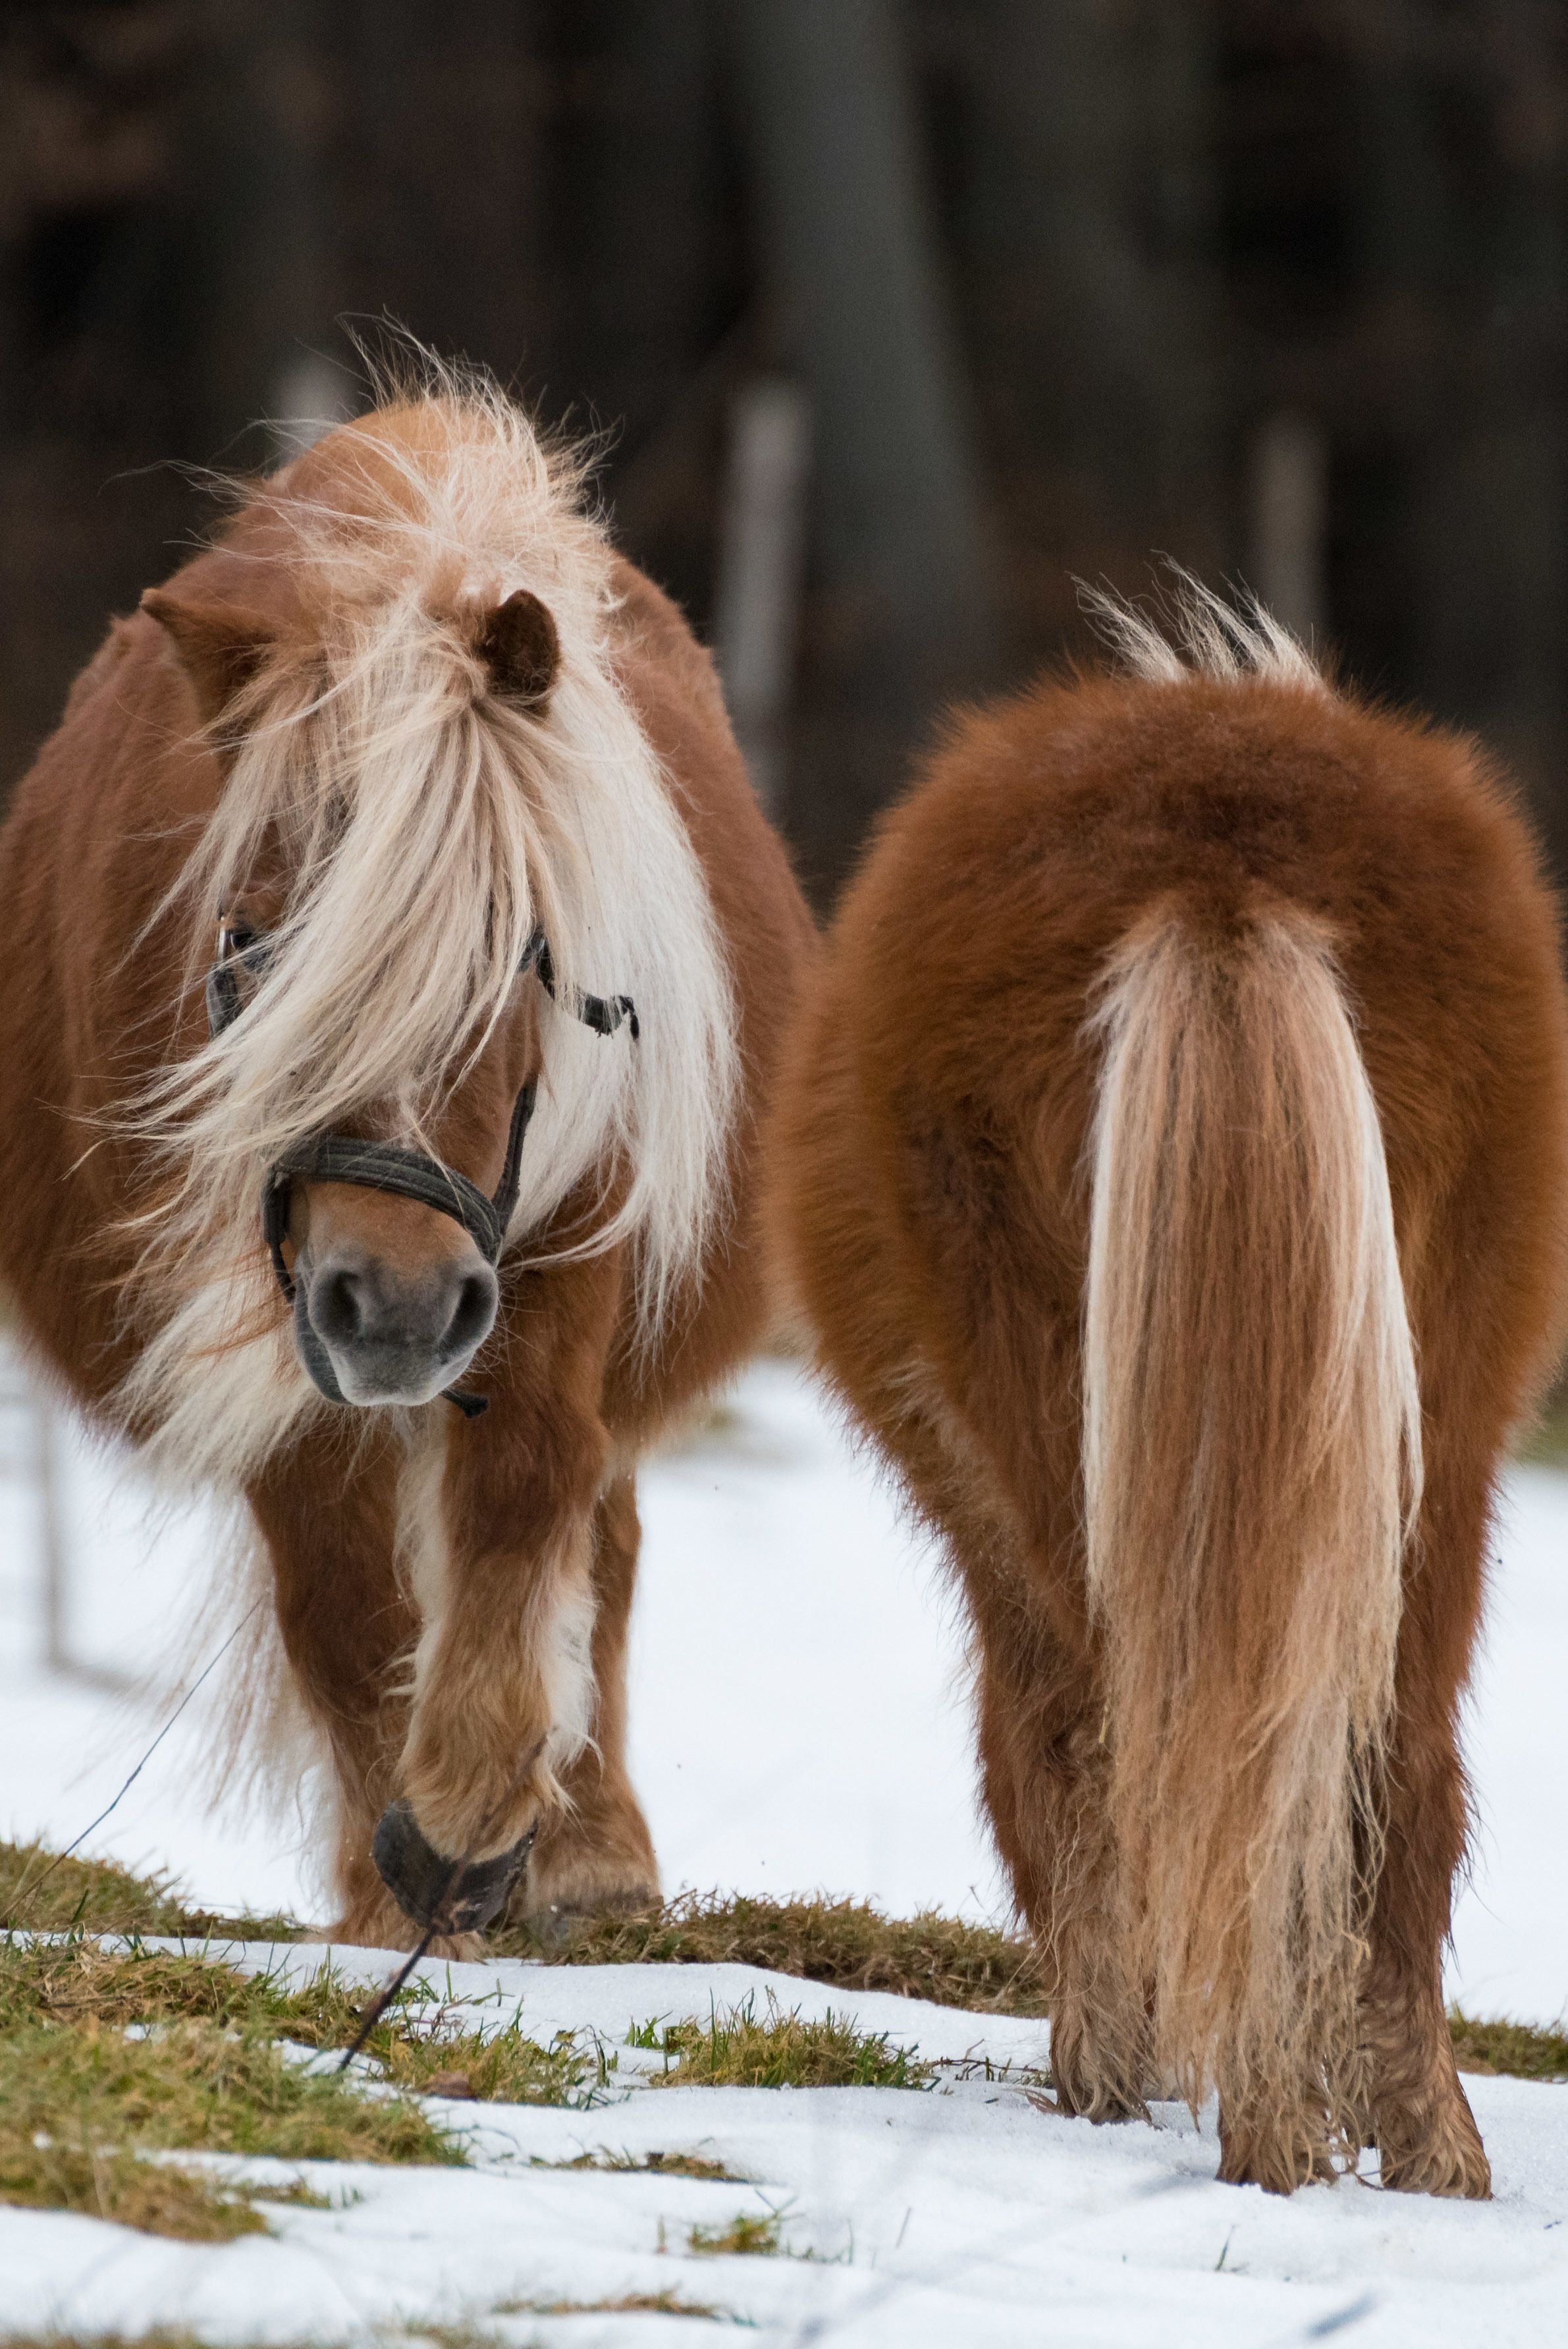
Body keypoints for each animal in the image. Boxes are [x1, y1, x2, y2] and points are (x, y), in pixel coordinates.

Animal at [0, 368, 814, 1950]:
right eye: (248, 936)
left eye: (526, 946)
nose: (395, 1304)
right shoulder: (283, 1314)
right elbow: (338, 1588)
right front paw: (402, 1879)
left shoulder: (561, 1237)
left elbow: (532, 1485)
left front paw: (481, 1811)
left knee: (604, 1531)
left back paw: (594, 1848)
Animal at [765, 580, 1568, 2196]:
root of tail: (1217, 858)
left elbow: (1045, 1769)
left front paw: (1111, 2070)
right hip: (1435, 1455)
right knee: (1378, 1773)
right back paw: (1406, 2154)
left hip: (1051, 1452)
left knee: (1122, 1741)